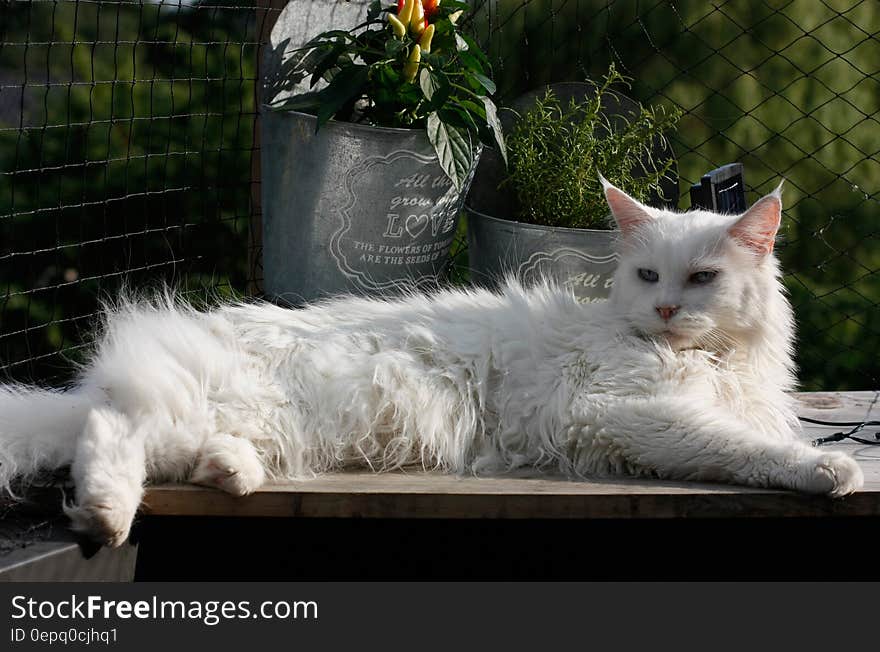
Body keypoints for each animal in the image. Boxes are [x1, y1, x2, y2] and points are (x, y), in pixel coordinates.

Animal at [0, 178, 864, 544]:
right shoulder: (622, 415)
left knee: (164, 449)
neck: (711, 361)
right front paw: (827, 470)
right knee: (109, 434)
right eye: (651, 276)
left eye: (703, 278)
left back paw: (231, 473)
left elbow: (751, 432)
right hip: (186, 404)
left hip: (242, 422)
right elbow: (739, 446)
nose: (664, 311)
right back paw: (107, 518)